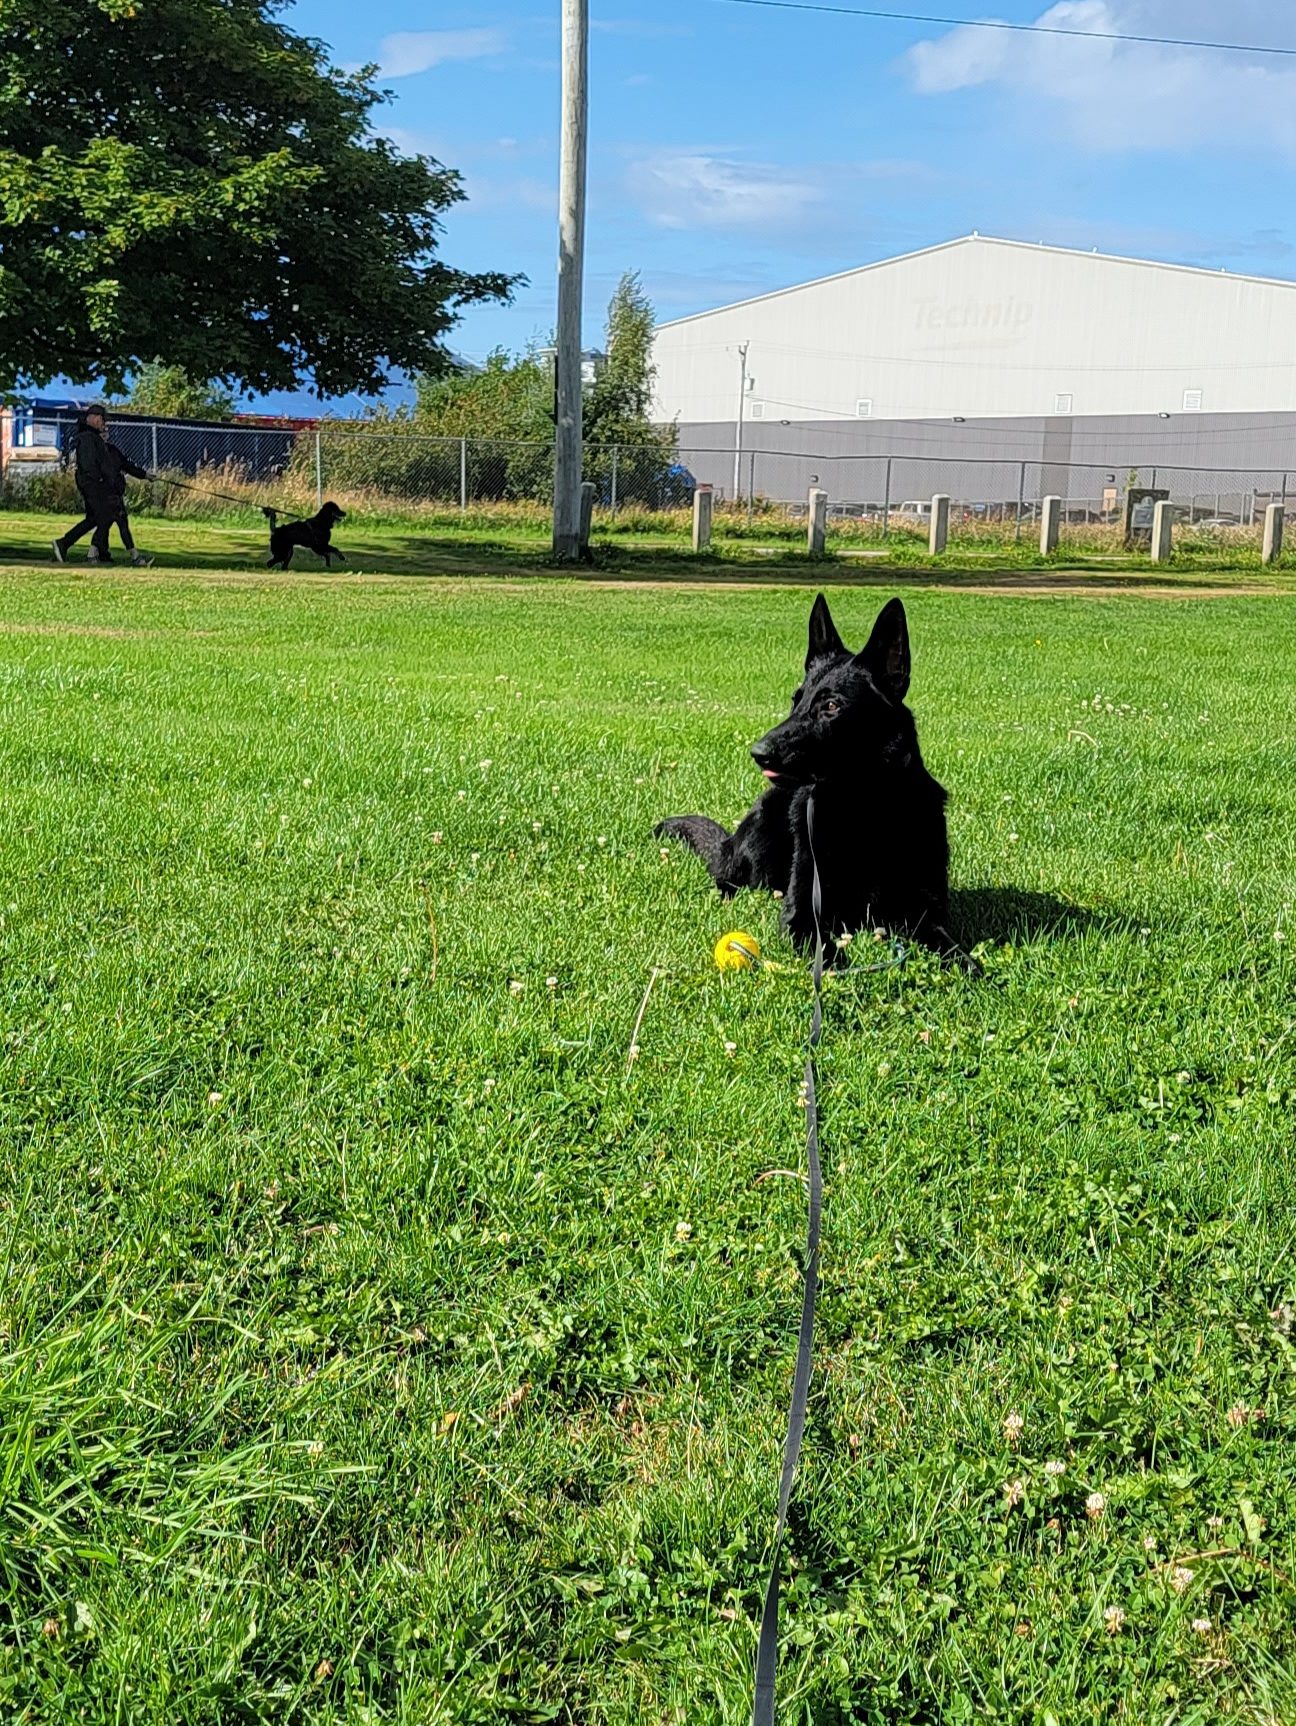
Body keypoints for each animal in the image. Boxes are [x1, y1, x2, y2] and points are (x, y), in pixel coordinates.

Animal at [652, 597, 959, 959]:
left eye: (831, 705)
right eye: (795, 700)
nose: (758, 753)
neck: (864, 807)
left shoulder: (927, 915)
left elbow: (957, 953)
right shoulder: (802, 914)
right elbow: (826, 952)